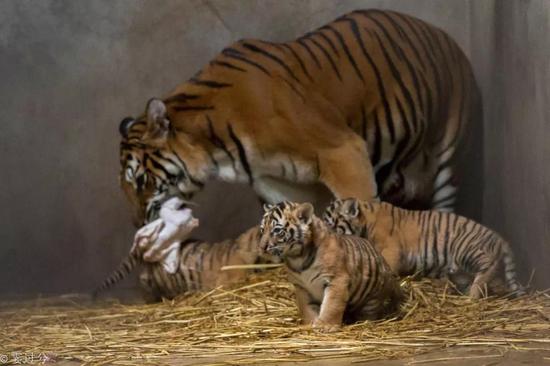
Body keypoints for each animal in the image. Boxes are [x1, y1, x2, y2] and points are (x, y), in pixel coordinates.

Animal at [118, 10, 480, 224]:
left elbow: (363, 205)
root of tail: (444, 34)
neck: (219, 151)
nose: (137, 224)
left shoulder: (342, 150)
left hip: (453, 156)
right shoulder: (280, 183)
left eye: (139, 180)